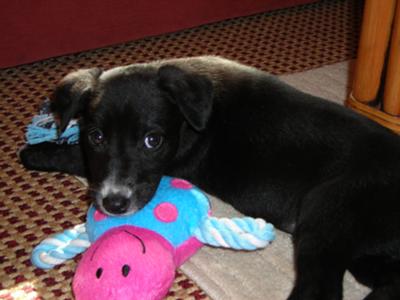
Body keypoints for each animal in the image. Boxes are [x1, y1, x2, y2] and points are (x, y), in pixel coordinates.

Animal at [21, 56, 400, 300]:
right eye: (96, 136)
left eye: (153, 140)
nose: (114, 204)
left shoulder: (174, 159)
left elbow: (76, 158)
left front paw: (37, 152)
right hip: (363, 251)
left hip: (326, 214)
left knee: (319, 289)